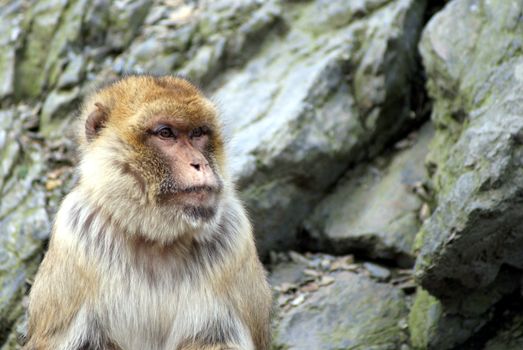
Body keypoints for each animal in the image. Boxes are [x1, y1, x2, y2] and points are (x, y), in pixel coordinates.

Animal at [22, 75, 272, 348]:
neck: (157, 238)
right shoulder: (76, 237)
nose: (200, 163)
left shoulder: (233, 237)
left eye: (197, 133)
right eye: (165, 133)